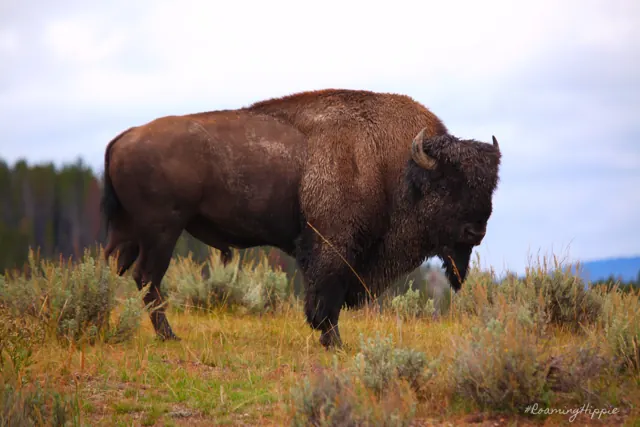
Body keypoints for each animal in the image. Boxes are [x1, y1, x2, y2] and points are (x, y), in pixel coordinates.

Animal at [101, 89, 502, 348]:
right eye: (446, 185)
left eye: (490, 187)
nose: (476, 231)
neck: (395, 165)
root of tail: (123, 137)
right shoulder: (332, 245)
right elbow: (326, 295)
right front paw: (333, 341)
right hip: (162, 231)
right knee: (147, 278)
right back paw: (169, 335)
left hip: (127, 231)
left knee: (114, 268)